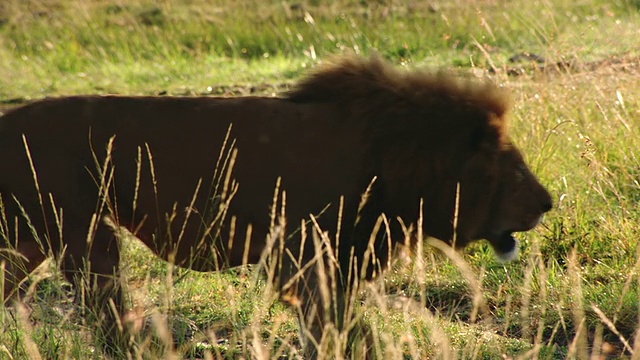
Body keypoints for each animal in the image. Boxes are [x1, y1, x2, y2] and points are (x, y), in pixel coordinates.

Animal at [0, 55, 552, 354]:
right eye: (514, 168)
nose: (549, 203)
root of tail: (10, 123)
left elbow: (341, 328)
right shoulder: (305, 258)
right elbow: (338, 329)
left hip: (31, 239)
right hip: (80, 231)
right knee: (105, 311)